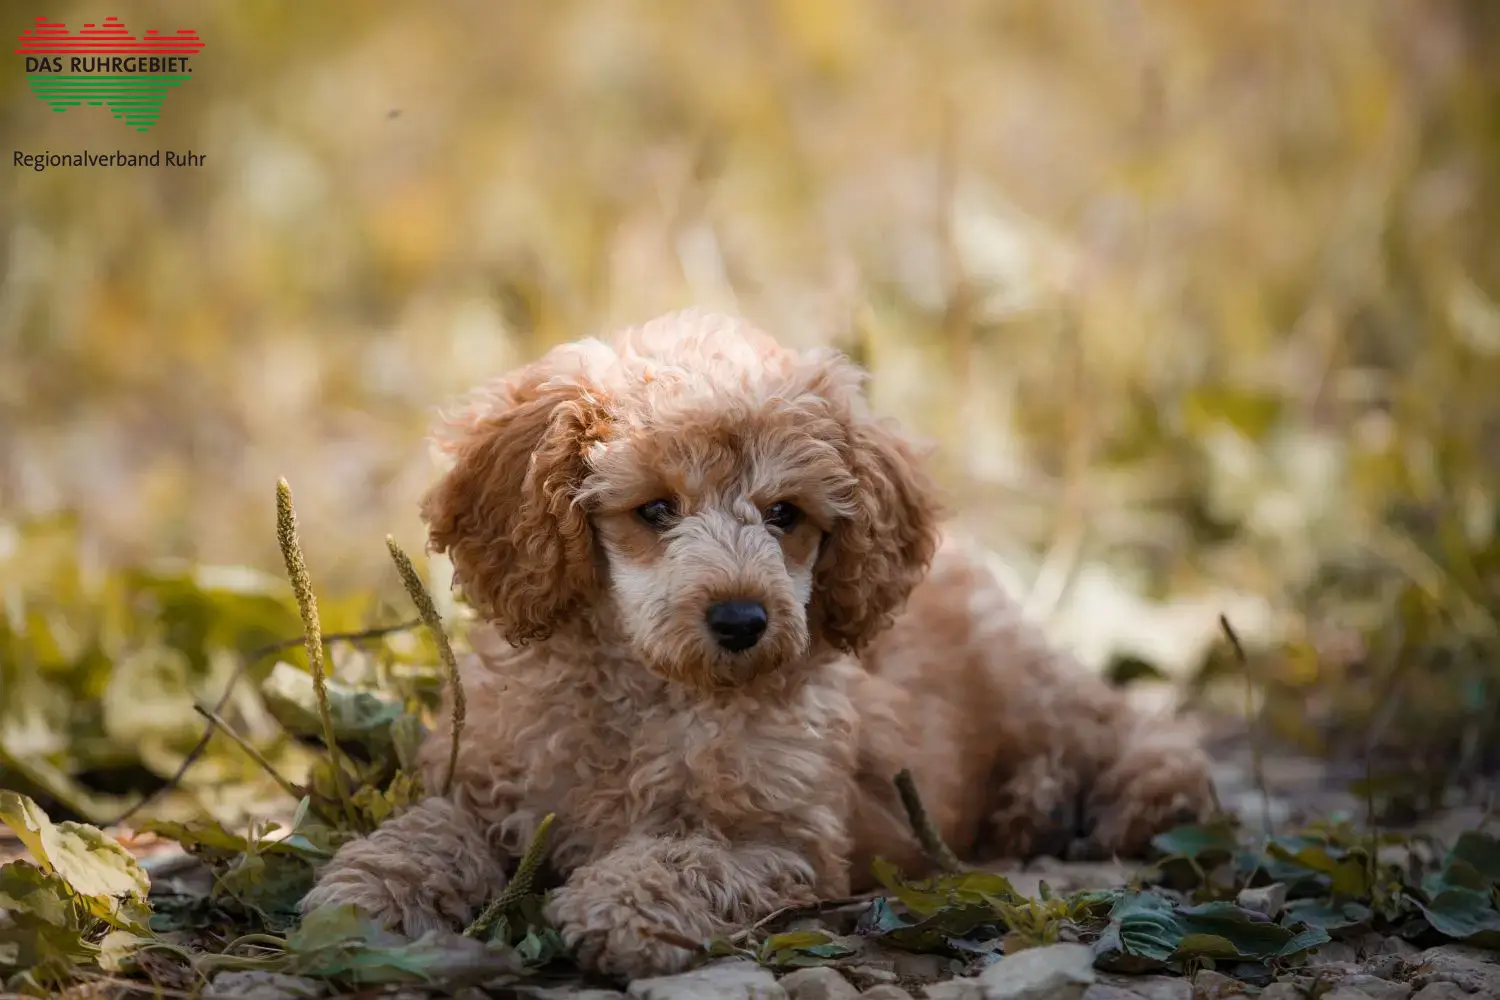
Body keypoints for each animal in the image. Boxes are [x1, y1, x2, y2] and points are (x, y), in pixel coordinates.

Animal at [298, 307, 1212, 977]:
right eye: (654, 509)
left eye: (785, 514)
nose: (742, 619)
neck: (655, 689)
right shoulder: (491, 781)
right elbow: (434, 826)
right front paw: (369, 890)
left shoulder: (788, 841)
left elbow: (692, 856)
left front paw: (619, 905)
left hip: (1024, 679)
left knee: (1124, 725)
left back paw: (1111, 798)